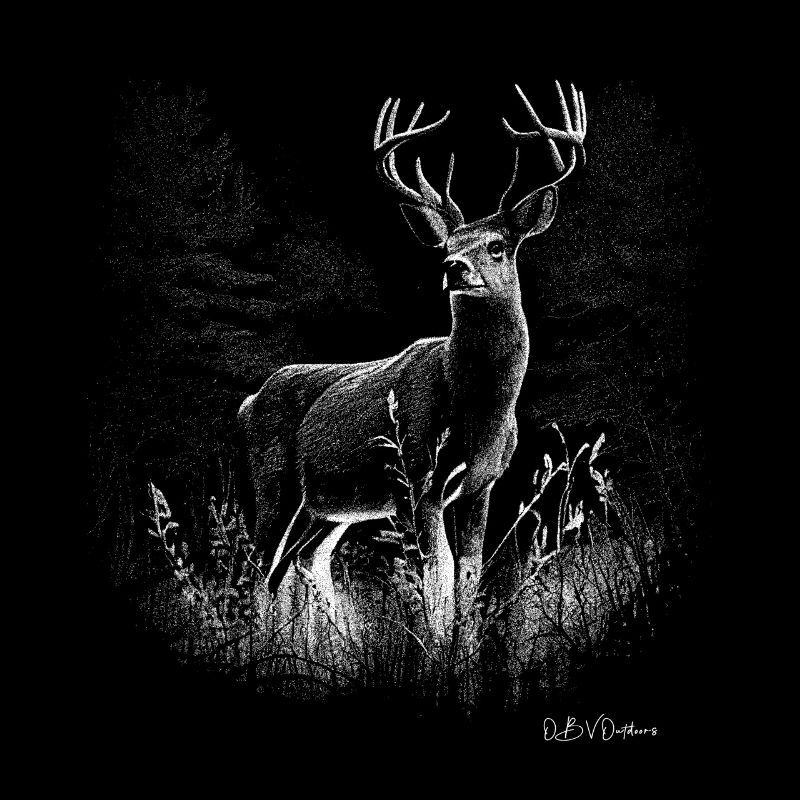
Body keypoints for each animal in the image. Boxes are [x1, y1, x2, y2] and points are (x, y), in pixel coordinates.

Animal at [237, 81, 588, 638]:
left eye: (497, 245)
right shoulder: (416, 476)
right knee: (258, 567)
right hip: (275, 482)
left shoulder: (482, 484)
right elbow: (436, 573)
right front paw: (435, 647)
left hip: (328, 508)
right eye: (446, 245)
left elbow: (468, 573)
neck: (477, 409)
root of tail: (249, 402)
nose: (454, 267)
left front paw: (462, 650)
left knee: (301, 564)